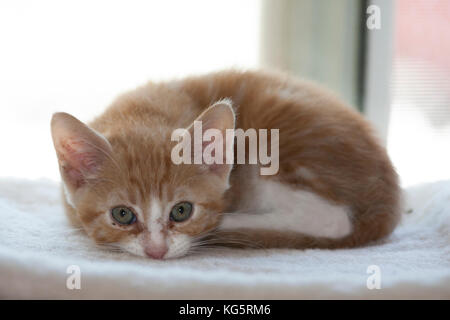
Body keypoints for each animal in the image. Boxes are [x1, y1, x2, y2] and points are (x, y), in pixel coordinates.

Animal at [51, 69, 402, 258]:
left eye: (181, 211)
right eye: (122, 215)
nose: (157, 251)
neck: (143, 113)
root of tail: (389, 203)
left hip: (276, 151)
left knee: (333, 219)